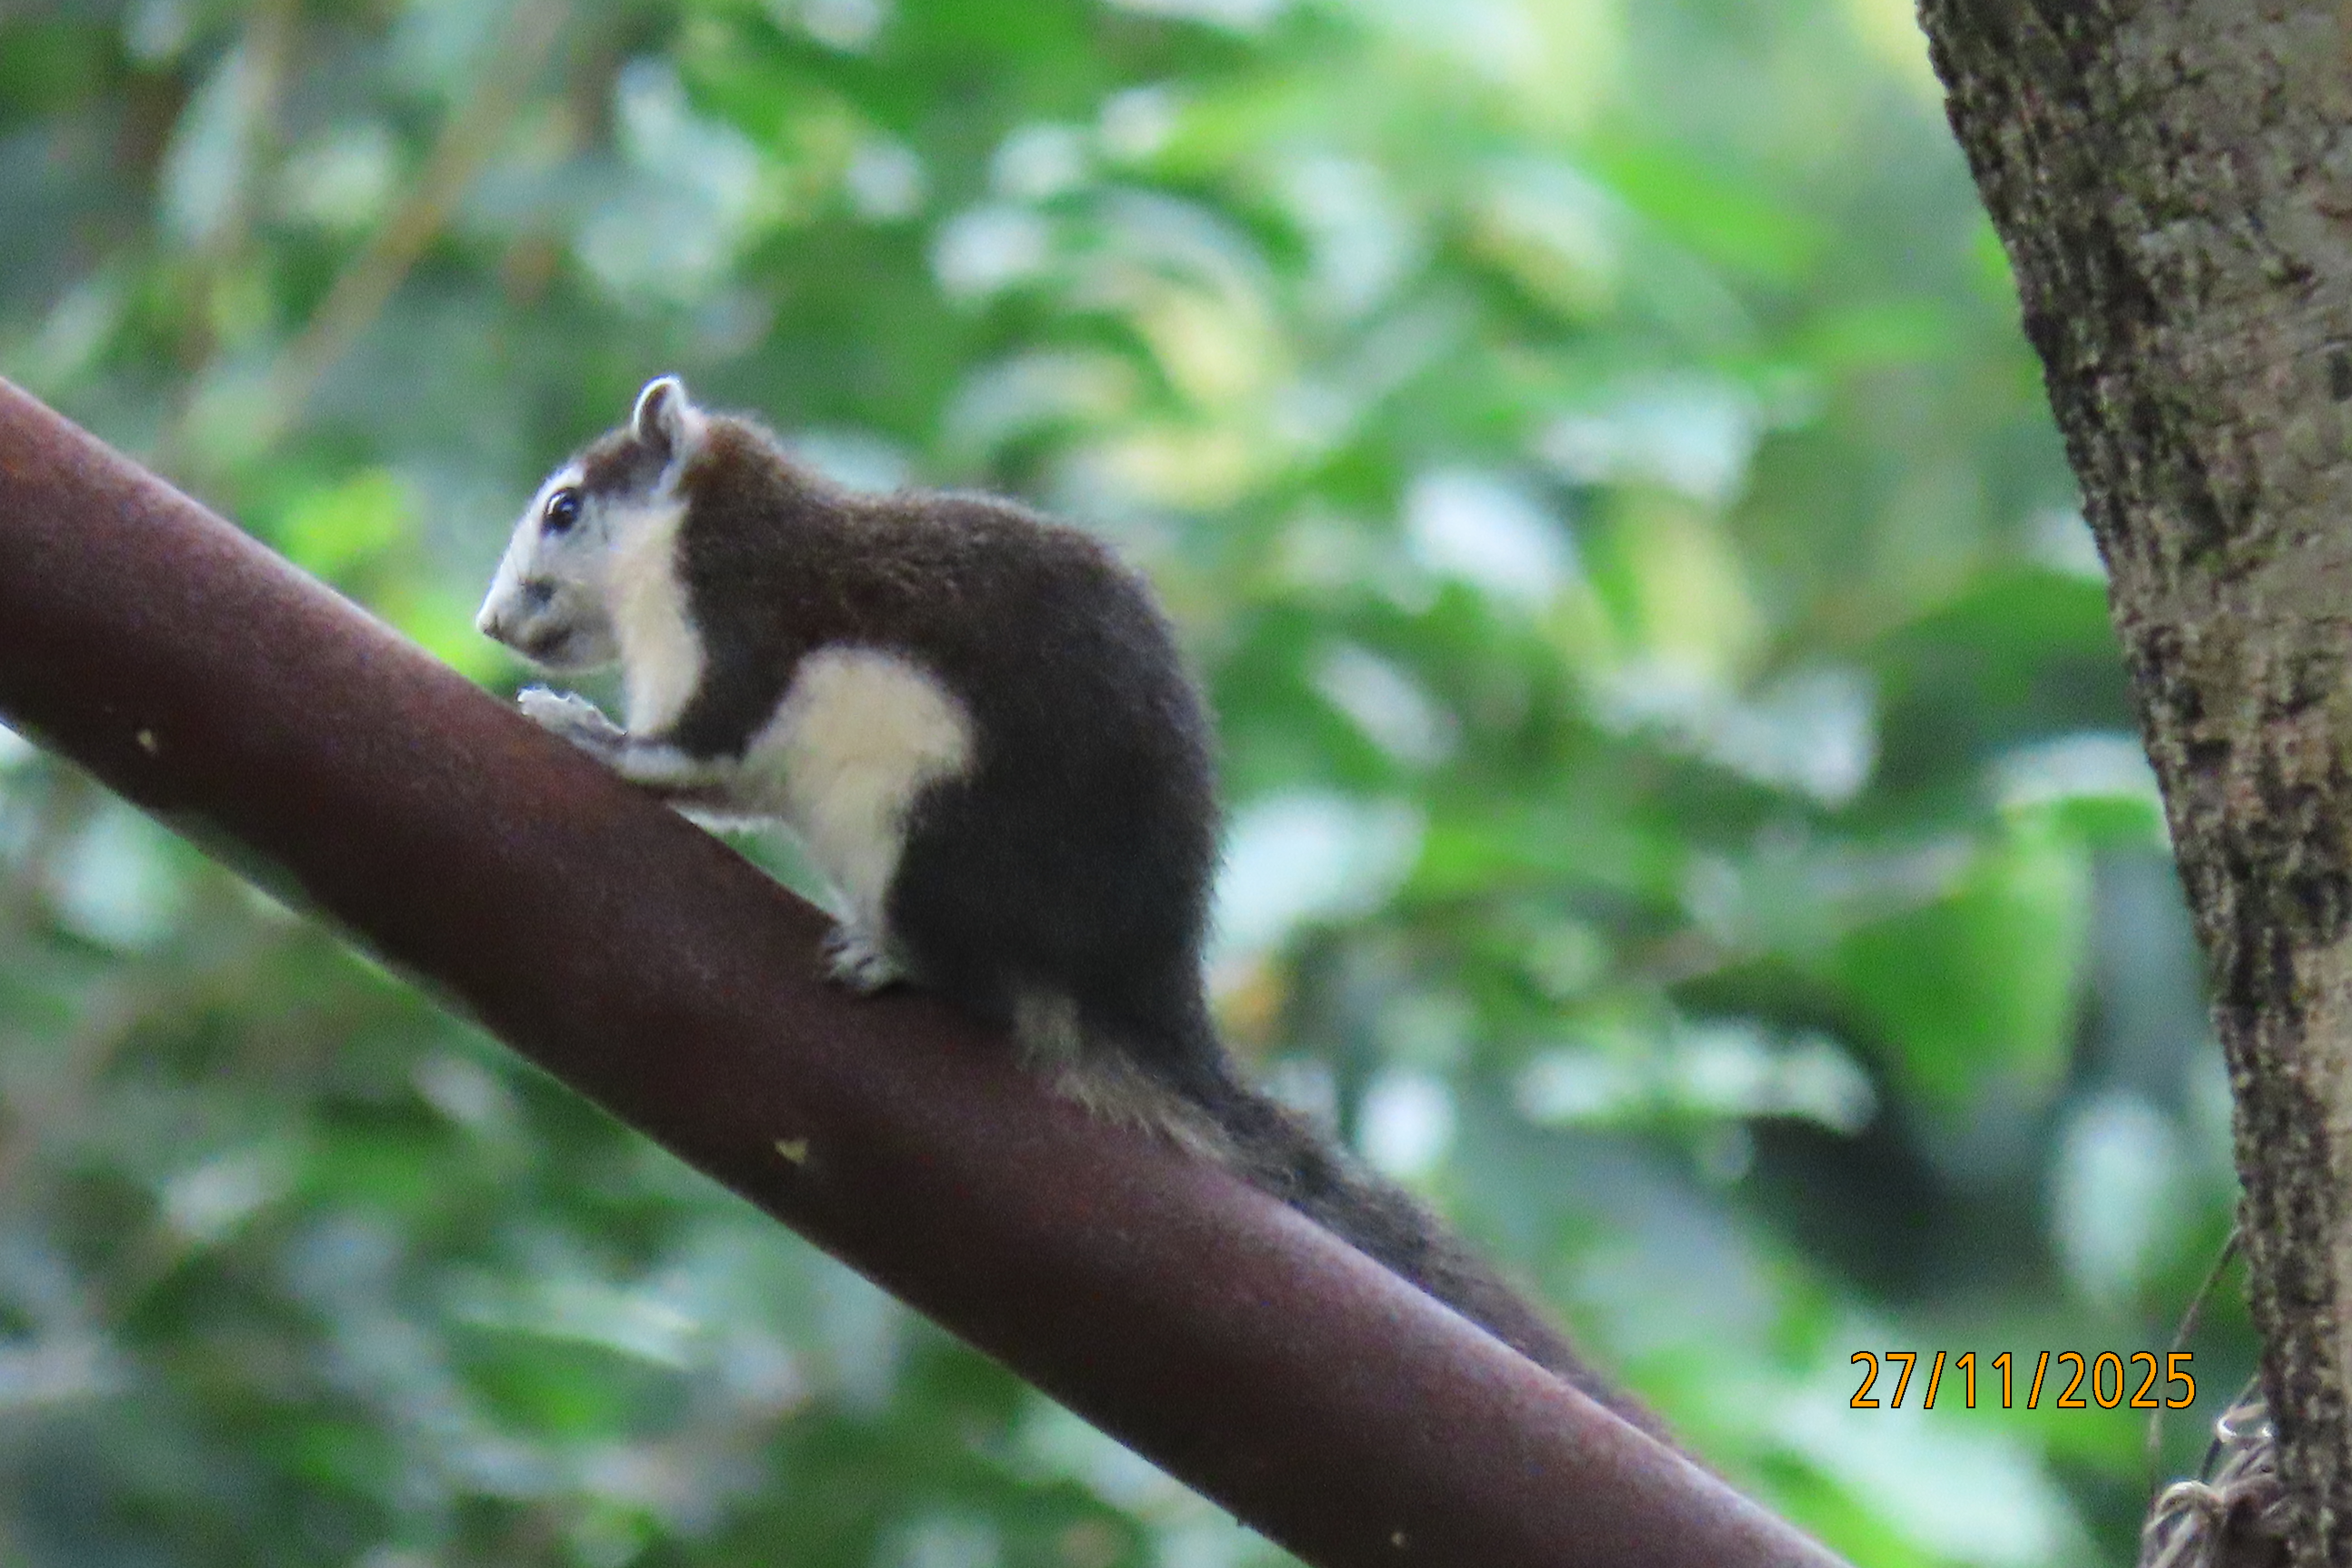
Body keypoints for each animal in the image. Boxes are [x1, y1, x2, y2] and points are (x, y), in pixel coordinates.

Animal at [477, 375, 1653, 1427]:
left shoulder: (739, 634)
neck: (705, 533)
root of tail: (1137, 987)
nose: (491, 624)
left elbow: (690, 756)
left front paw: (582, 731)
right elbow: (721, 793)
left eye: (565, 508)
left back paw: (890, 958)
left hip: (934, 840)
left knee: (982, 989)